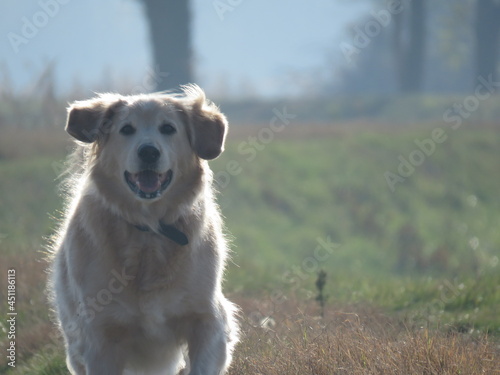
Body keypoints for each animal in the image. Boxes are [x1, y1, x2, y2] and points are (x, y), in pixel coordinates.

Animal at [47, 86, 239, 375]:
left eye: (168, 128)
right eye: (127, 129)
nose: (149, 152)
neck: (148, 230)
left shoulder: (208, 320)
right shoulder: (100, 336)